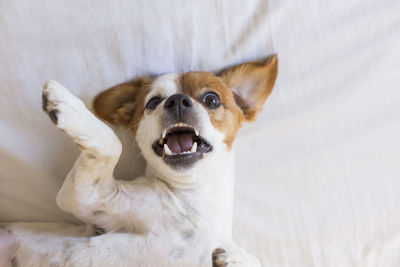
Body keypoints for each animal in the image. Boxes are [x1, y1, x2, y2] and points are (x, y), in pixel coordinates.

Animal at [0, 53, 278, 266]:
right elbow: (112, 141)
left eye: (212, 99)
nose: (177, 100)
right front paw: (71, 106)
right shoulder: (85, 196)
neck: (192, 203)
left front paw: (237, 258)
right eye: (153, 102)